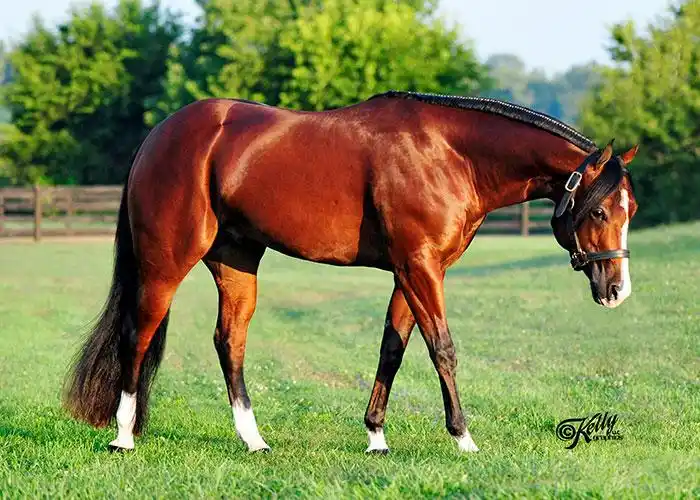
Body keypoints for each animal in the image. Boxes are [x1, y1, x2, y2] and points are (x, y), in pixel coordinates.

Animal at [64, 91, 638, 454]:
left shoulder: (412, 271)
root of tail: (160, 134)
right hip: (166, 261)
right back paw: (123, 435)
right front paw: (463, 438)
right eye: (599, 212)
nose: (616, 290)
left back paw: (253, 440)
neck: (450, 154)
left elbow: (393, 349)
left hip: (237, 260)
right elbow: (442, 348)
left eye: (630, 209)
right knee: (137, 334)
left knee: (230, 341)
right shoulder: (420, 267)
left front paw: (377, 437)